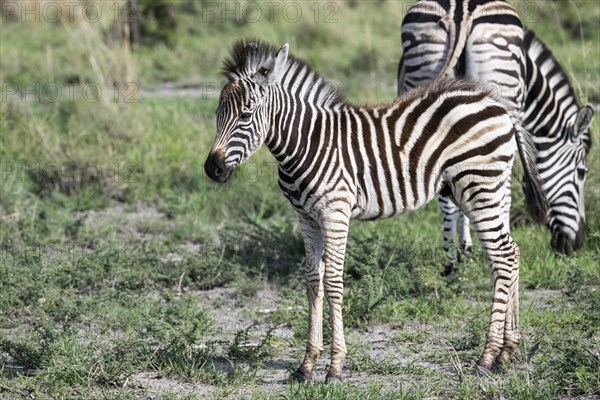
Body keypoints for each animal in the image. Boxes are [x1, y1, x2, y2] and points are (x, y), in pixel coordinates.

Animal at [205, 39, 548, 382]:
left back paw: (487, 358)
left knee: (503, 257)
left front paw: (335, 366)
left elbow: (333, 282)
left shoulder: (335, 213)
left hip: (479, 188)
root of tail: (497, 102)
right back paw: (507, 353)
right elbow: (313, 281)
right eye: (218, 114)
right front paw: (306, 365)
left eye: (246, 115)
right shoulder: (306, 218)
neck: (305, 144)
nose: (212, 169)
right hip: (492, 190)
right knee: (509, 255)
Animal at [396, 0, 592, 266]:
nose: (576, 245)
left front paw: (466, 248)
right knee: (500, 189)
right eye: (581, 172)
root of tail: (460, 12)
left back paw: (451, 260)